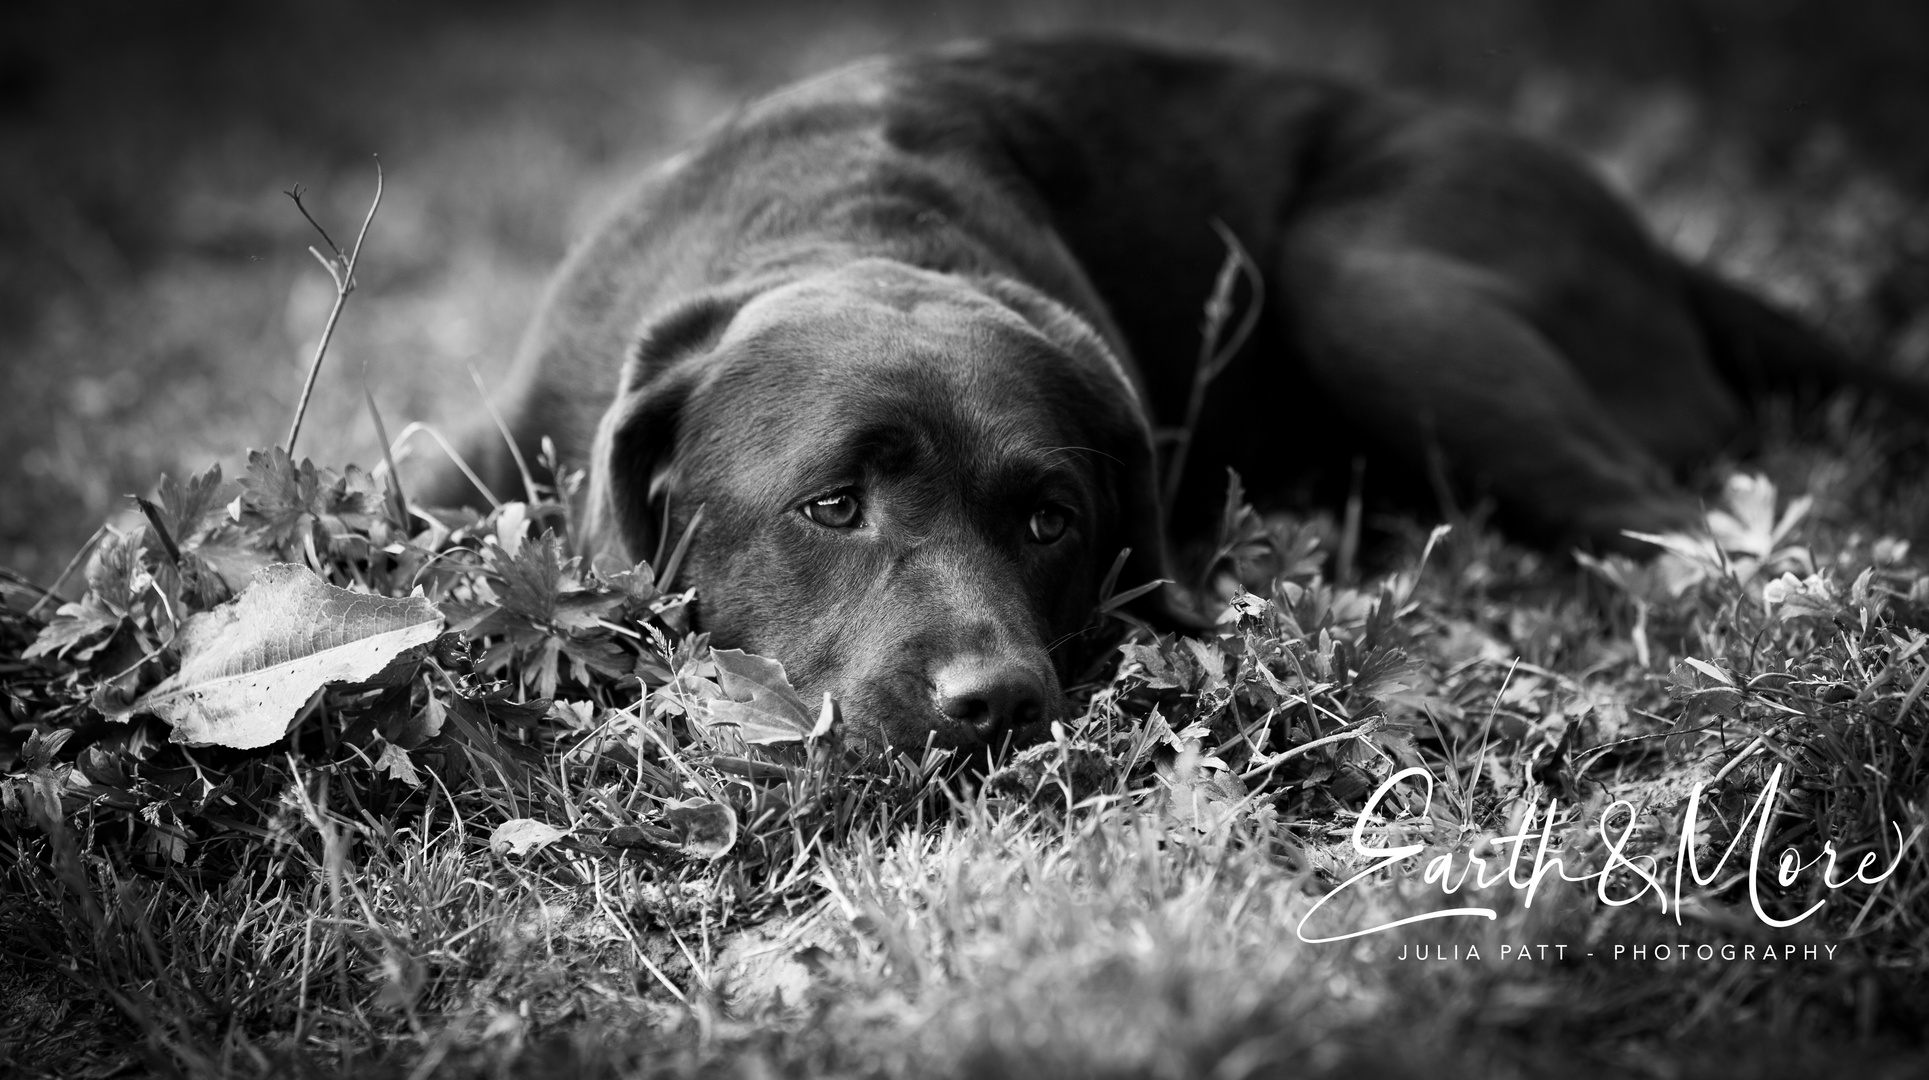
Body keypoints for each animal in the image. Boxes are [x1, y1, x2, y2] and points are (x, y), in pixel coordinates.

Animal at [430, 38, 1921, 756]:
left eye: (1050, 521)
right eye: (832, 505)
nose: (996, 701)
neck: (839, 225)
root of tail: (1663, 248)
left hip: (1365, 279)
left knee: (1678, 523)